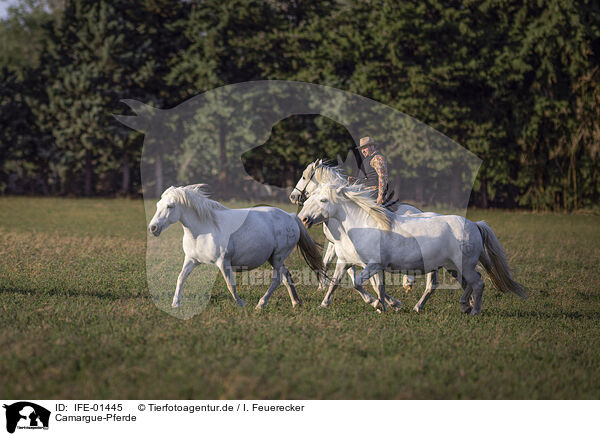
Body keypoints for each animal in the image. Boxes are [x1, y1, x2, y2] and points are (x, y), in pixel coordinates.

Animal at [148, 184, 326, 310]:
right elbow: (180, 278)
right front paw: (175, 304)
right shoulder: (191, 260)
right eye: (157, 205)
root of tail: (290, 216)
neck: (204, 230)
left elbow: (230, 285)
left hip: (278, 257)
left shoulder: (223, 262)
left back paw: (261, 304)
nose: (153, 228)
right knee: (286, 276)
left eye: (170, 206)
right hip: (274, 259)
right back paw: (295, 303)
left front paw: (241, 304)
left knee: (276, 279)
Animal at [298, 181, 528, 314]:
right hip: (453, 267)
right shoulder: (350, 263)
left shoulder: (372, 265)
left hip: (464, 266)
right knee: (467, 284)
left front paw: (378, 305)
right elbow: (341, 283)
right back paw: (458, 306)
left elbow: (358, 284)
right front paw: (324, 304)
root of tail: (475, 224)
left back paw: (474, 311)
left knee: (478, 284)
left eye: (323, 200)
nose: (304, 218)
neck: (362, 225)